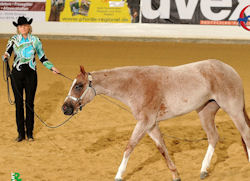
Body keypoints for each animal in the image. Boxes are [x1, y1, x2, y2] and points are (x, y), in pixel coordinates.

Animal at [61, 59, 249, 181]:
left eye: (78, 86)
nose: (65, 108)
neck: (134, 84)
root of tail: (230, 69)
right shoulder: (151, 125)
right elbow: (162, 148)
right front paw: (176, 175)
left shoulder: (144, 122)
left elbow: (129, 147)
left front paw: (118, 175)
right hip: (205, 112)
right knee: (213, 137)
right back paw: (203, 170)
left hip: (233, 110)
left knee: (245, 134)